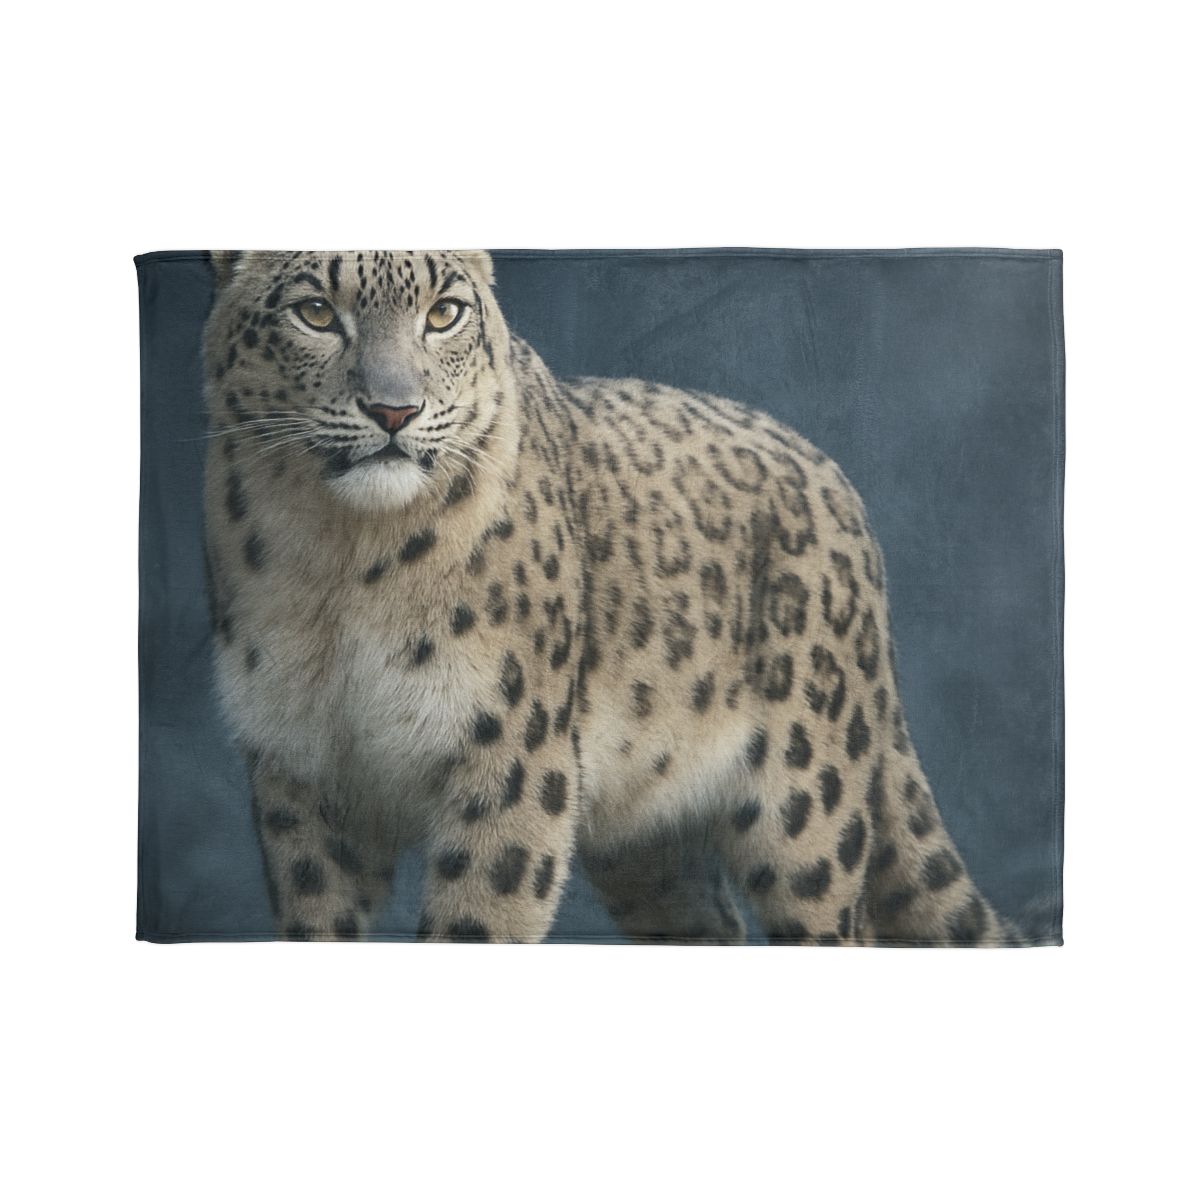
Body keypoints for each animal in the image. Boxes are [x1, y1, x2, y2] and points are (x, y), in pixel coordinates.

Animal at [203, 249, 1019, 945]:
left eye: (444, 313)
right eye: (314, 311)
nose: (394, 411)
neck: (341, 567)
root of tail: (837, 482)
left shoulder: (509, 758)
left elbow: (477, 921)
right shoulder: (301, 770)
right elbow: (319, 924)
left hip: (808, 811)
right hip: (649, 847)